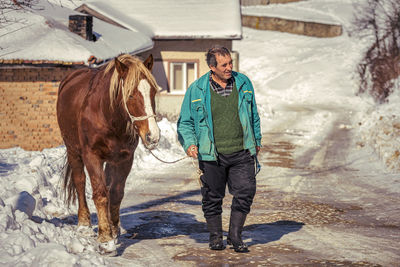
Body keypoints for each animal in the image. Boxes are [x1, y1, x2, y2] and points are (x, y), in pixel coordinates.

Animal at [57, 53, 160, 254]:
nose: (153, 136)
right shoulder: (92, 156)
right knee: (80, 182)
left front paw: (113, 229)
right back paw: (84, 224)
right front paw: (105, 240)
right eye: (130, 94)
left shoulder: (125, 158)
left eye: (153, 92)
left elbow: (116, 193)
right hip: (73, 150)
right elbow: (100, 194)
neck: (107, 115)